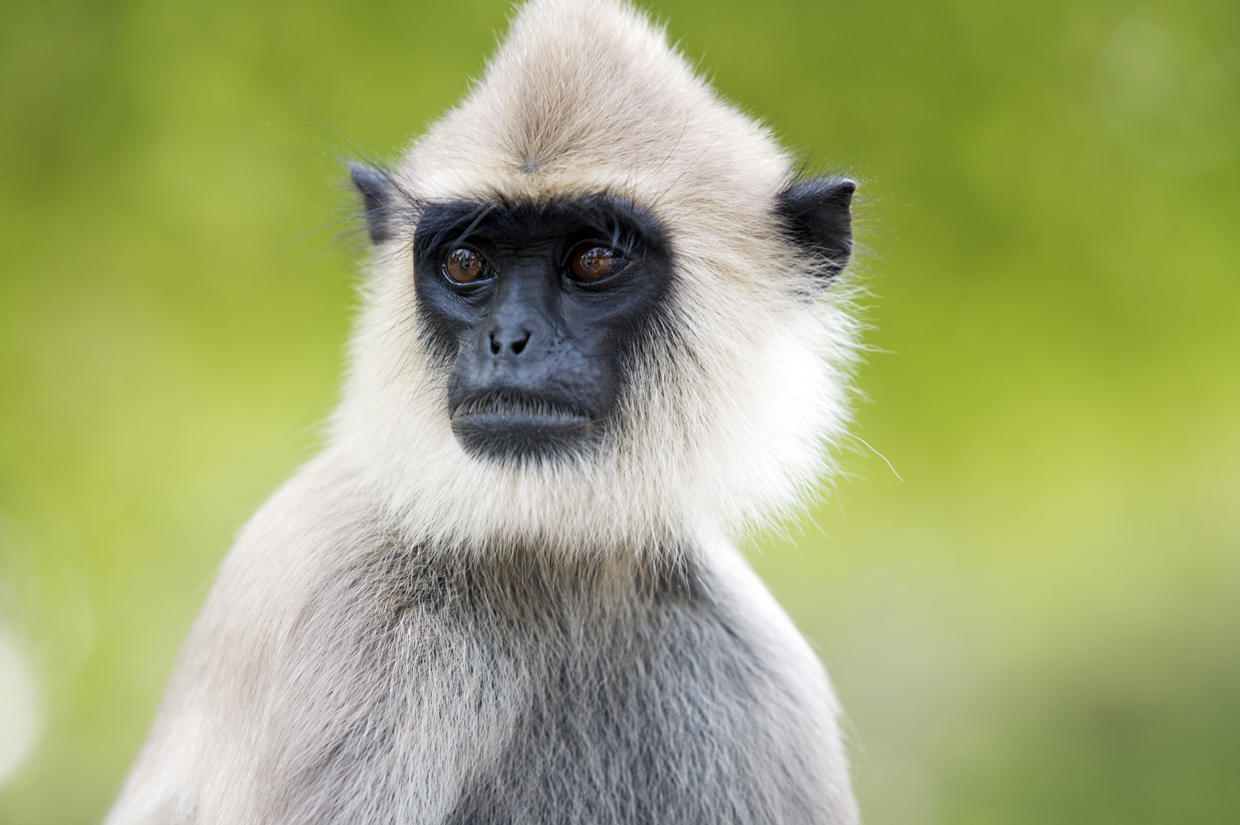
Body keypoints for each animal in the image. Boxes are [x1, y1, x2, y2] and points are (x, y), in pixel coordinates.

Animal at [106, 0, 863, 822]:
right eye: (467, 263)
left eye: (594, 259)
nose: (508, 340)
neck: (557, 566)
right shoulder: (366, 618)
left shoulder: (757, 666)